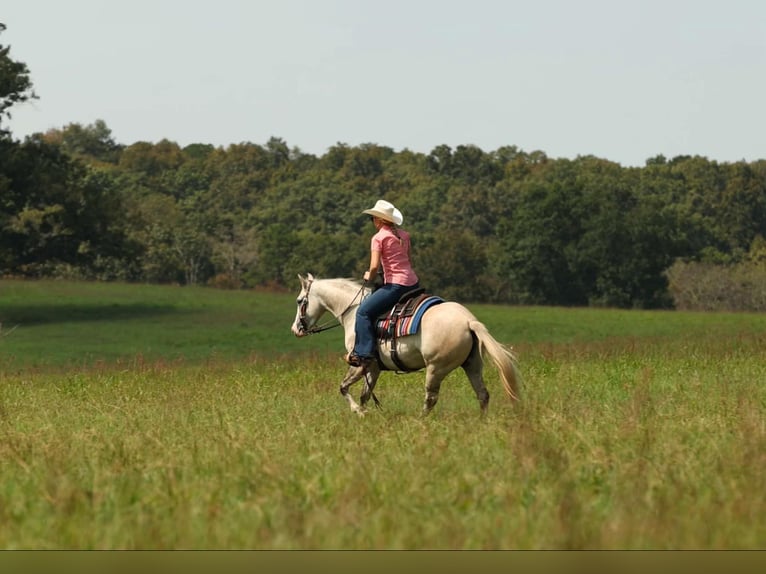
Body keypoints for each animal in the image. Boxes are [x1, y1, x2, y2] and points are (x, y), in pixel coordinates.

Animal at [290, 273, 521, 416]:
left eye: (300, 301)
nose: (295, 330)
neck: (353, 311)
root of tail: (468, 321)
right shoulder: (373, 367)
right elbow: (365, 395)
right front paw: (366, 413)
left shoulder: (360, 363)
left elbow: (343, 387)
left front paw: (359, 412)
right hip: (472, 364)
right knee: (482, 394)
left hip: (436, 368)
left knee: (431, 399)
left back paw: (420, 420)